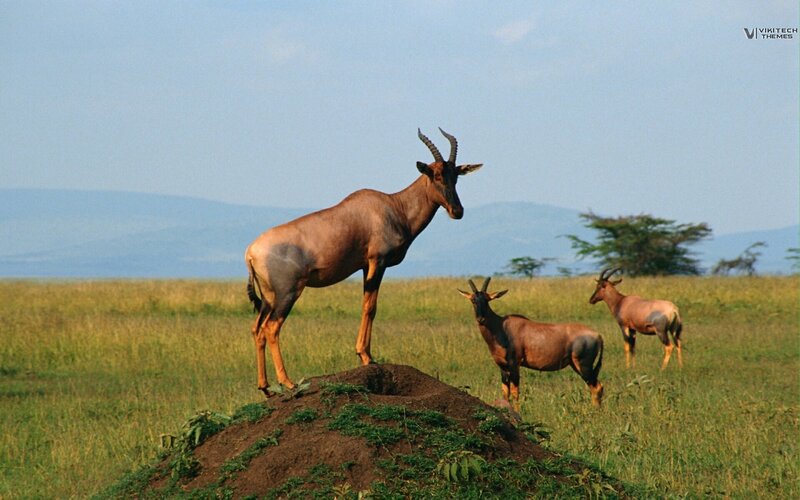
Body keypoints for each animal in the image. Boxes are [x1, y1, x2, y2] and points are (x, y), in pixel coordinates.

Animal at [245, 129, 482, 397]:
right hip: (288, 293)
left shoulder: (364, 266)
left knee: (257, 329)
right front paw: (366, 357)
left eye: (456, 176)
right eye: (437, 175)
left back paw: (265, 387)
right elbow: (371, 306)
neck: (393, 206)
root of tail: (251, 252)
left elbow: (367, 305)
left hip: (268, 297)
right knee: (272, 328)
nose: (457, 211)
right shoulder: (377, 262)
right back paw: (288, 382)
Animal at [458, 278, 605, 409]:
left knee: (597, 387)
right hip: (576, 365)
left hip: (583, 365)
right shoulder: (503, 367)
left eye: (488, 300)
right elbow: (505, 393)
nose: (481, 319)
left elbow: (515, 392)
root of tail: (597, 335)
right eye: (473, 300)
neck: (502, 327)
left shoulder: (514, 364)